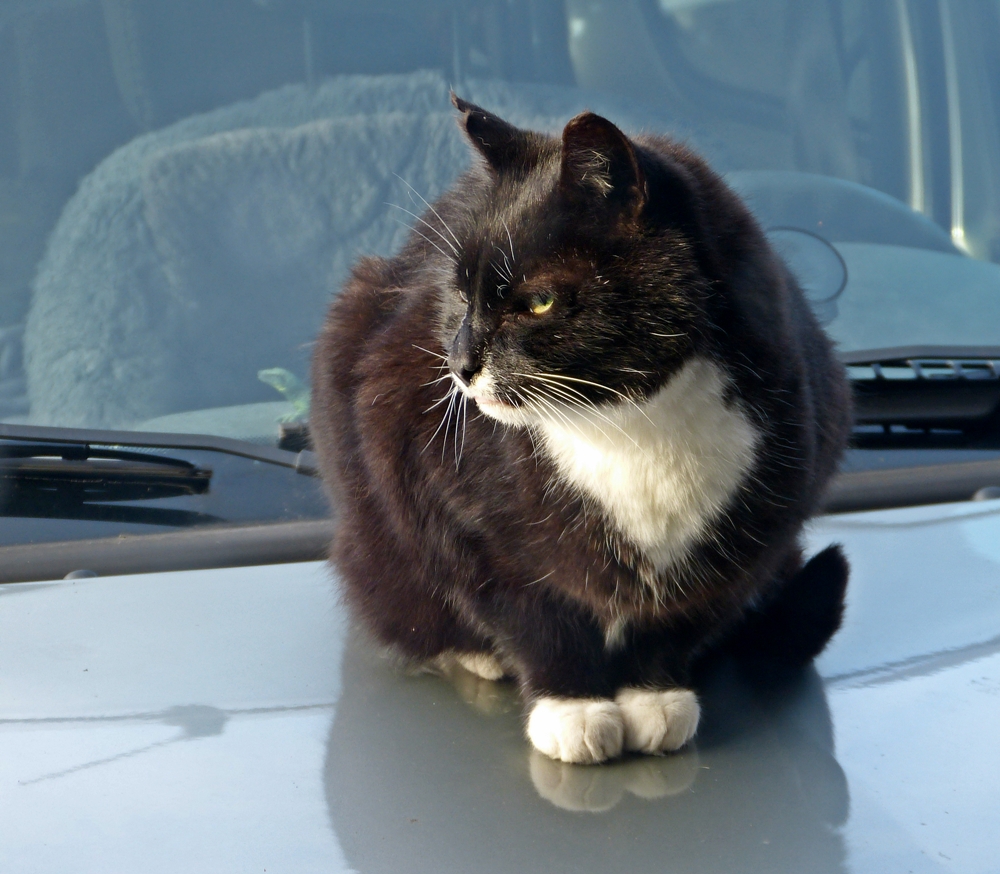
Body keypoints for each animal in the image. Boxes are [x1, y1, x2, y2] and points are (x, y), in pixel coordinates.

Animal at [312, 95, 852, 760]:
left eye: (537, 302)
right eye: (459, 294)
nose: (459, 365)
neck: (630, 422)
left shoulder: (759, 524)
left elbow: (681, 615)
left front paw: (654, 696)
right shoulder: (449, 497)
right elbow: (531, 611)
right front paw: (571, 707)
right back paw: (477, 656)